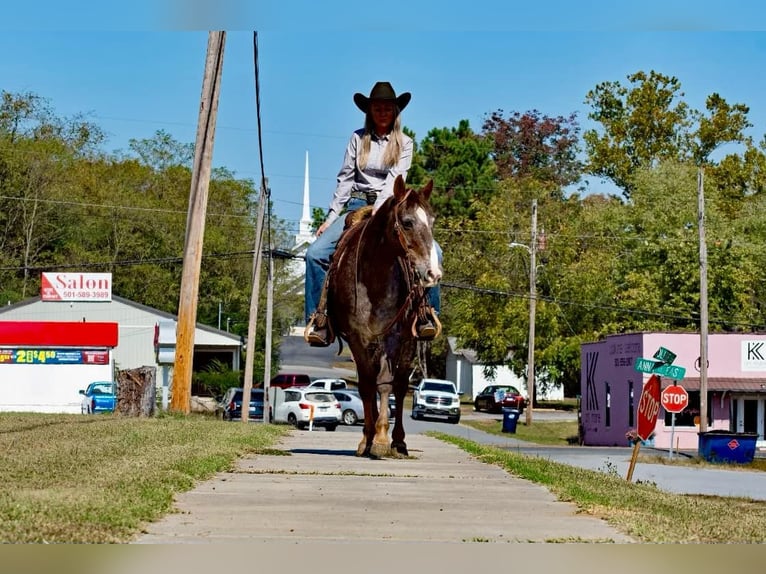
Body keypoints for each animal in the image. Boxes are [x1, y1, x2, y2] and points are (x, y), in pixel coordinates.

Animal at [326, 176, 440, 460]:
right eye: (407, 222)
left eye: (432, 221)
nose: (433, 273)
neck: (375, 276)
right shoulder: (357, 337)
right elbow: (366, 386)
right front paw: (367, 439)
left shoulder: (394, 335)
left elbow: (386, 384)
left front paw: (380, 439)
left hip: (409, 341)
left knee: (399, 386)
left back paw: (398, 441)